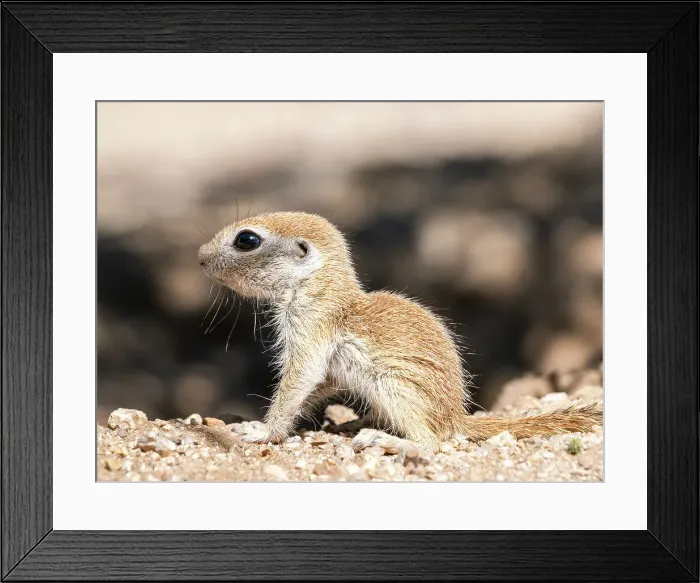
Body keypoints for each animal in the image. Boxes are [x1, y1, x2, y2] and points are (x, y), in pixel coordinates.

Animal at [198, 212, 602, 453]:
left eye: (247, 240)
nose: (200, 257)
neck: (320, 288)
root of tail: (456, 417)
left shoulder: (310, 329)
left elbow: (299, 380)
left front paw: (262, 432)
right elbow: (319, 384)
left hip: (396, 386)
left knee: (432, 442)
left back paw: (387, 439)